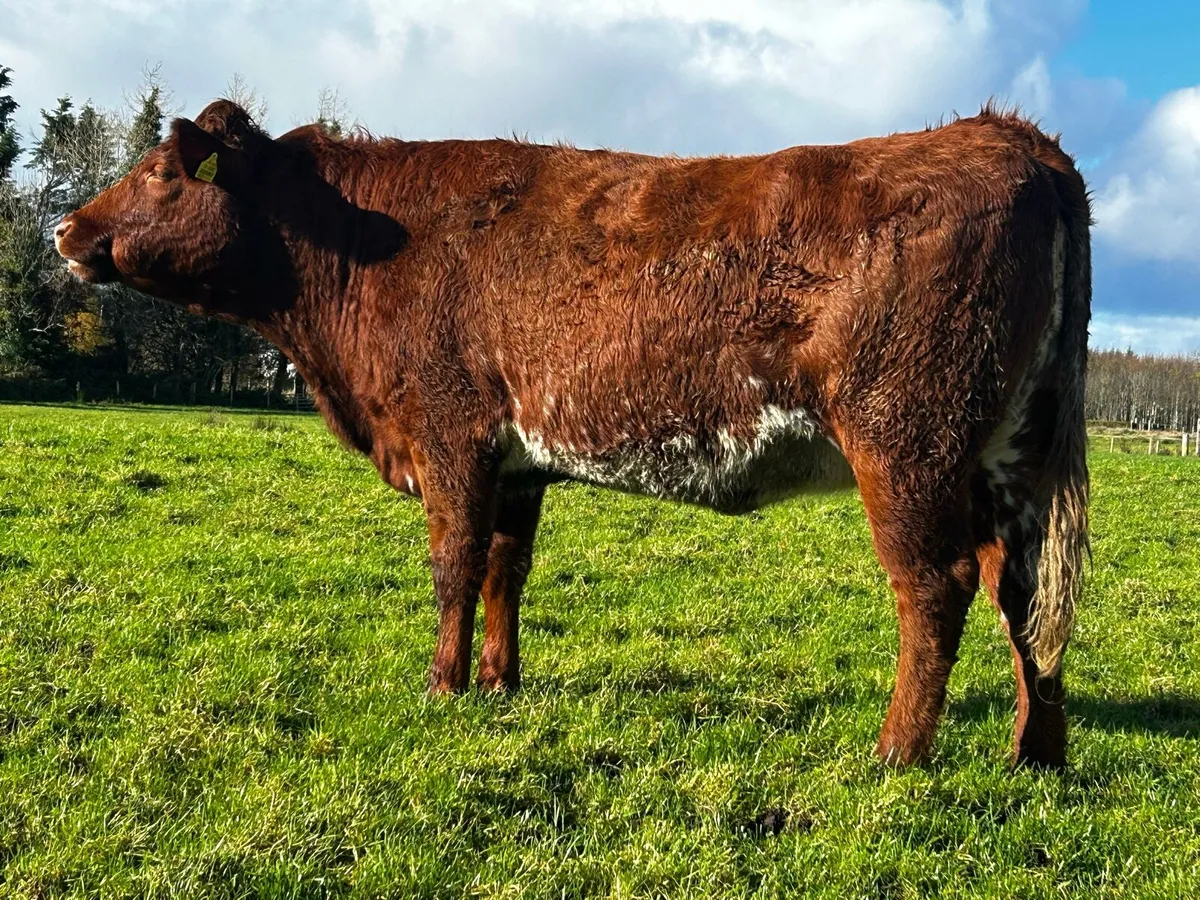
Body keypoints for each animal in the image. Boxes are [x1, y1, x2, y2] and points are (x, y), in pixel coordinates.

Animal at [56, 100, 1090, 768]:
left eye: (159, 172)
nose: (67, 229)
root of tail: (1009, 137)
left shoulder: (452, 437)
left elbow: (454, 564)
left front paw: (441, 687)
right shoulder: (517, 462)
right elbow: (505, 569)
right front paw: (500, 684)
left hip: (905, 445)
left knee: (938, 588)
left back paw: (896, 754)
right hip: (1007, 459)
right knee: (1025, 592)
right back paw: (1033, 753)